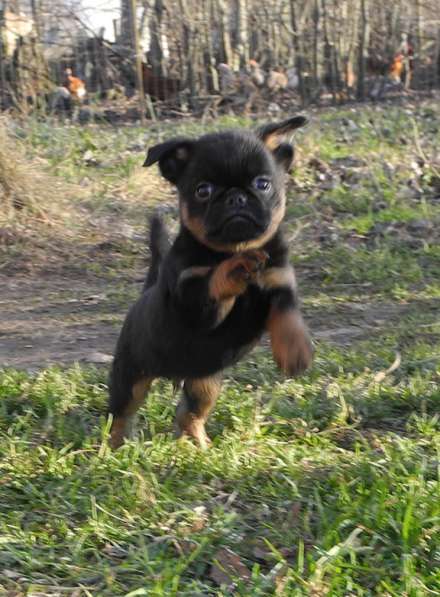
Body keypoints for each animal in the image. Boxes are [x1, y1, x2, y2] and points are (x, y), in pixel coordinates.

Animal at [108, 115, 312, 448]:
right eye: (203, 190)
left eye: (262, 184)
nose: (236, 196)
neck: (233, 247)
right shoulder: (193, 301)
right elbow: (215, 279)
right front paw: (235, 268)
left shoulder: (279, 281)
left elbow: (288, 316)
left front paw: (295, 349)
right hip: (131, 375)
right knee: (121, 413)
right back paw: (116, 445)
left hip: (204, 383)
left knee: (189, 415)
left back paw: (198, 445)